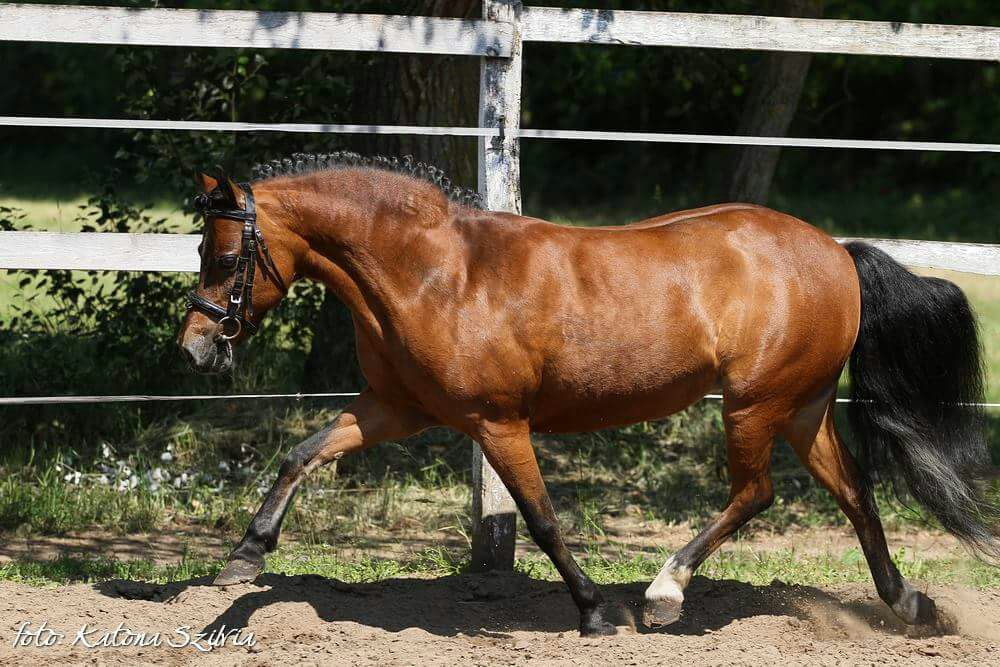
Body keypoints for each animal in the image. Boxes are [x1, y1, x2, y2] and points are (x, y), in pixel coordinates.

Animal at [176, 154, 996, 640]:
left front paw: (597, 611)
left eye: (223, 255)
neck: (437, 273)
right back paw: (907, 605)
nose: (194, 347)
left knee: (756, 492)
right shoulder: (395, 406)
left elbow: (540, 519)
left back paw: (664, 593)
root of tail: (837, 253)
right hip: (801, 408)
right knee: (854, 491)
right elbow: (303, 454)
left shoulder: (498, 422)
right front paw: (243, 559)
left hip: (754, 404)